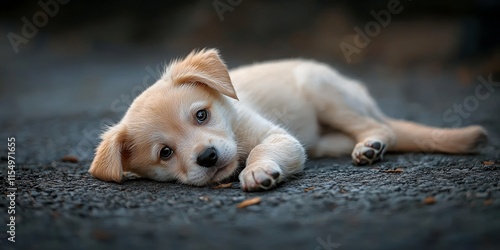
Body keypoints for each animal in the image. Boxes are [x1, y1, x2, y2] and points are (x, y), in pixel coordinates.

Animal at [88, 48, 486, 191]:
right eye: (165, 153)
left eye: (202, 115)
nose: (208, 158)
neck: (230, 116)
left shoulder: (279, 138)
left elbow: (261, 151)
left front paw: (256, 171)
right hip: (321, 138)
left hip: (323, 90)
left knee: (382, 126)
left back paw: (371, 145)